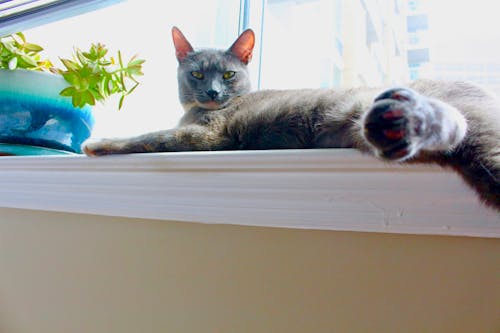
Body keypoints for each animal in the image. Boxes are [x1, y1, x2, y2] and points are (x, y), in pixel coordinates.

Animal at [84, 26, 500, 210]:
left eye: (228, 74)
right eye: (198, 74)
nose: (214, 93)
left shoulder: (208, 136)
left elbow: (148, 136)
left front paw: (98, 143)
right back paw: (396, 123)